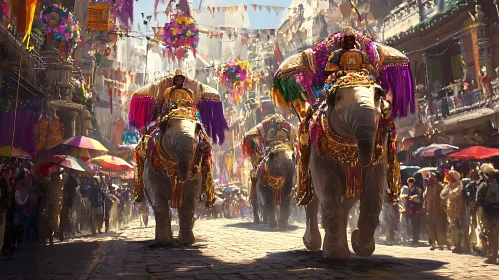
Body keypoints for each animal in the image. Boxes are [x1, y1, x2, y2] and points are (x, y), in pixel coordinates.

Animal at [143, 114, 205, 245]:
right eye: (168, 126)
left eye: (198, 128)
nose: (179, 177)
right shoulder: (151, 168)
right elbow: (158, 198)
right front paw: (163, 241)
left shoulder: (198, 171)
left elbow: (190, 201)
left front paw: (187, 242)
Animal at [300, 81, 390, 260]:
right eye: (339, 98)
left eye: (378, 95)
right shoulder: (317, 151)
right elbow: (326, 188)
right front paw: (334, 254)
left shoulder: (380, 152)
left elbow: (374, 190)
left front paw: (359, 245)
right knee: (312, 199)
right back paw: (312, 243)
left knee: (346, 205)